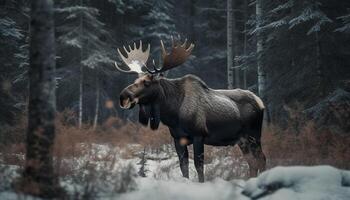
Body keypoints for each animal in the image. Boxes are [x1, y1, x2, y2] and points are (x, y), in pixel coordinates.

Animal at [115, 38, 266, 182]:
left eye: (146, 82)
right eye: (135, 80)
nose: (123, 96)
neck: (172, 114)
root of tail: (260, 102)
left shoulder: (199, 134)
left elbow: (199, 166)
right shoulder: (178, 138)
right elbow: (184, 166)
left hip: (254, 135)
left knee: (261, 159)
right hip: (242, 140)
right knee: (252, 162)